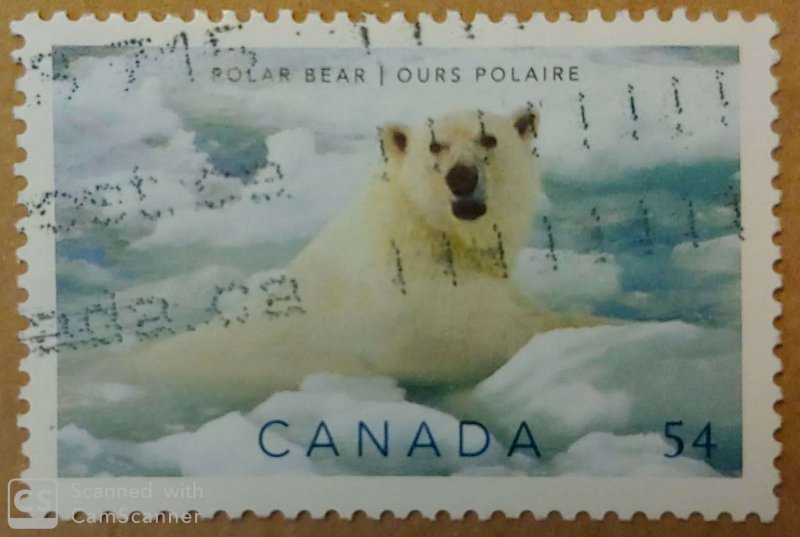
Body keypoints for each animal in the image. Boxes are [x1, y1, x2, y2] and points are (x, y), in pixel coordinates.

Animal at [109, 107, 602, 400]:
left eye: (489, 140)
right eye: (435, 145)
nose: (461, 178)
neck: (428, 232)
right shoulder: (414, 309)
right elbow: (486, 339)